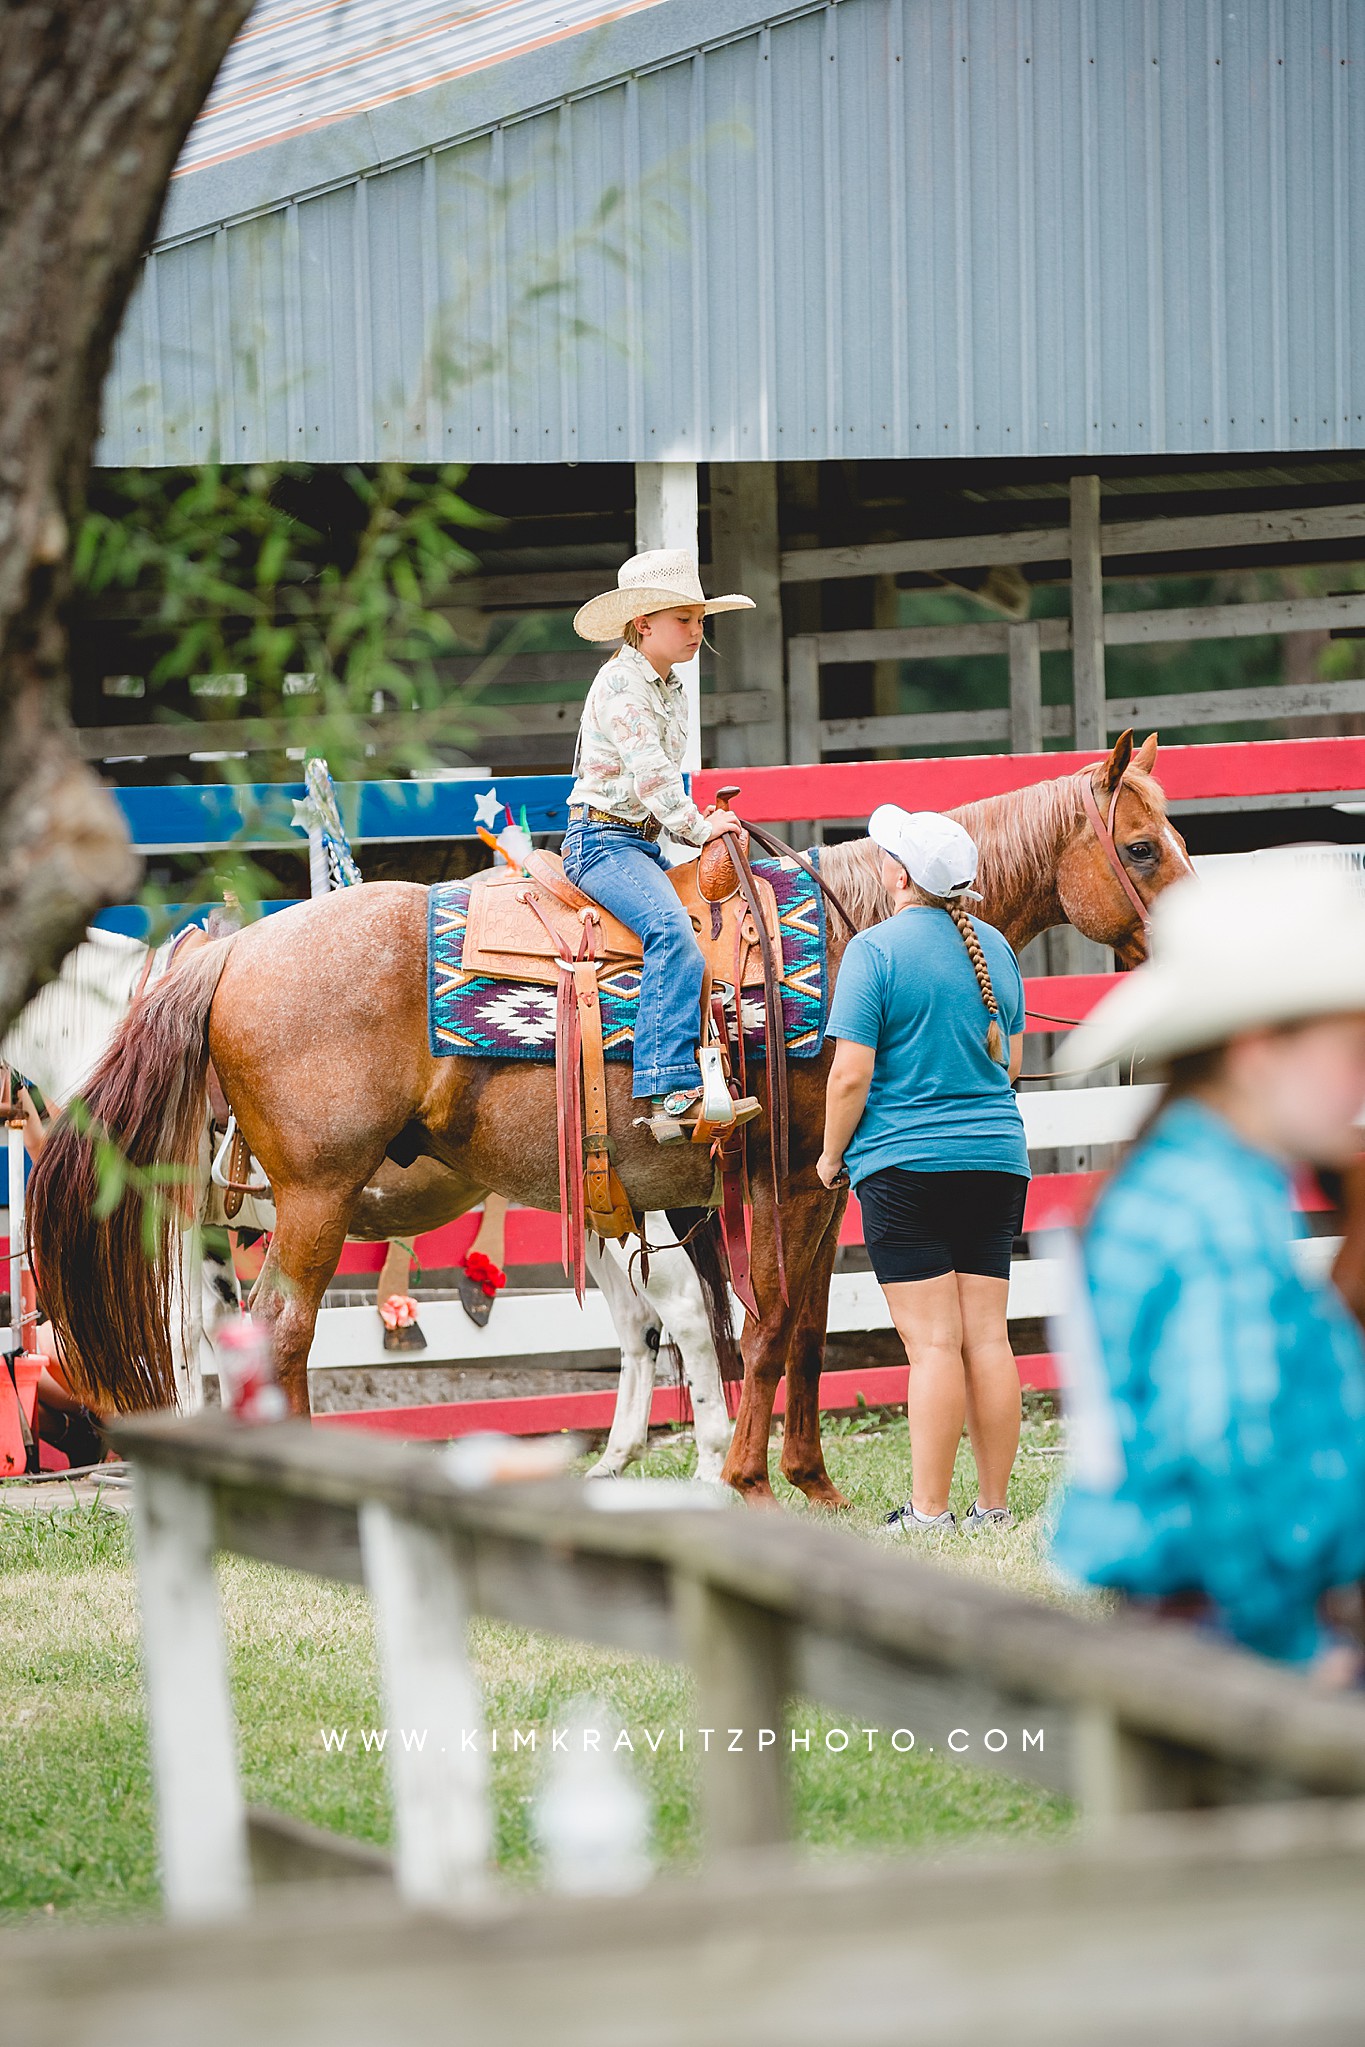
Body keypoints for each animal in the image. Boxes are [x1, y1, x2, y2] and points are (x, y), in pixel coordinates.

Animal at [26, 736, 1186, 1506]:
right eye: (1139, 847)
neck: (852, 934)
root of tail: (233, 952)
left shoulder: (820, 1185)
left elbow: (804, 1326)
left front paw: (808, 1481)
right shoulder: (783, 1185)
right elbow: (768, 1323)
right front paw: (746, 1479)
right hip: (311, 1197)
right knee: (279, 1334)